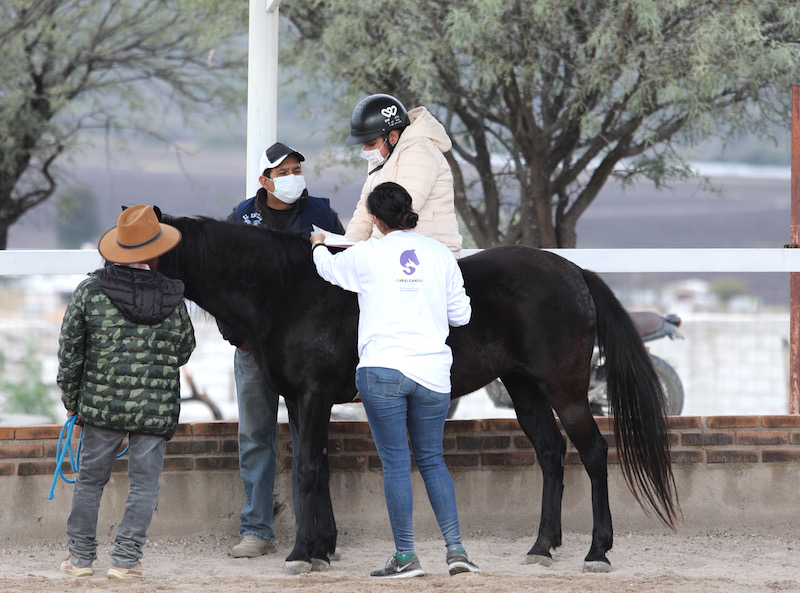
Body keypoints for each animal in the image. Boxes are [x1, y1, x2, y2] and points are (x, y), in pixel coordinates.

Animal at [159, 216, 680, 572]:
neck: (292, 292)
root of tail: (573, 271)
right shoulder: (306, 400)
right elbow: (320, 469)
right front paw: (323, 547)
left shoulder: (313, 395)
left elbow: (307, 471)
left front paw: (302, 554)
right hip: (524, 387)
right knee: (551, 454)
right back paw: (541, 547)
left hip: (564, 389)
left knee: (593, 452)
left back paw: (597, 551)